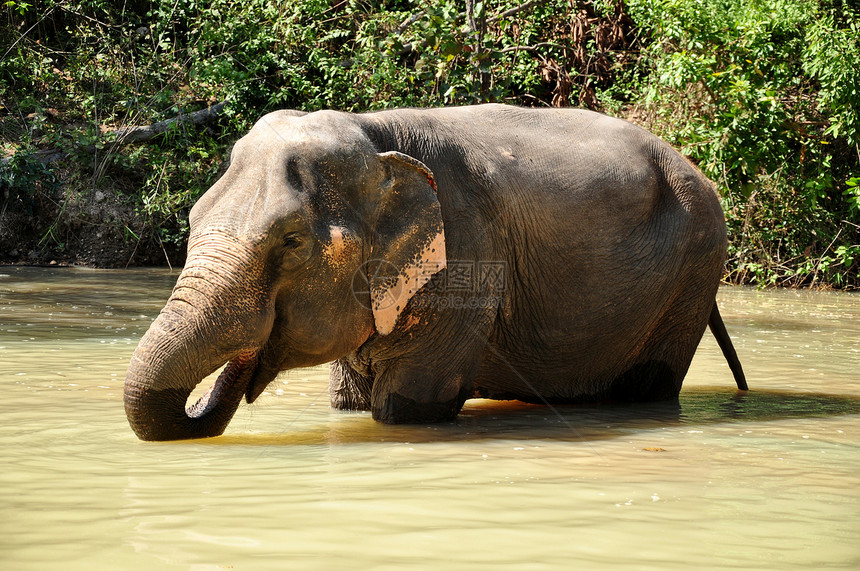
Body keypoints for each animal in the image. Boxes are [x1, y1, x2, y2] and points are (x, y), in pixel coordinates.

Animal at [122, 104, 744, 442]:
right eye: (193, 219)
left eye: (291, 241)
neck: (375, 135)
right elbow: (347, 405)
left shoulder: (467, 260)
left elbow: (405, 408)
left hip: (693, 272)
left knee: (651, 384)